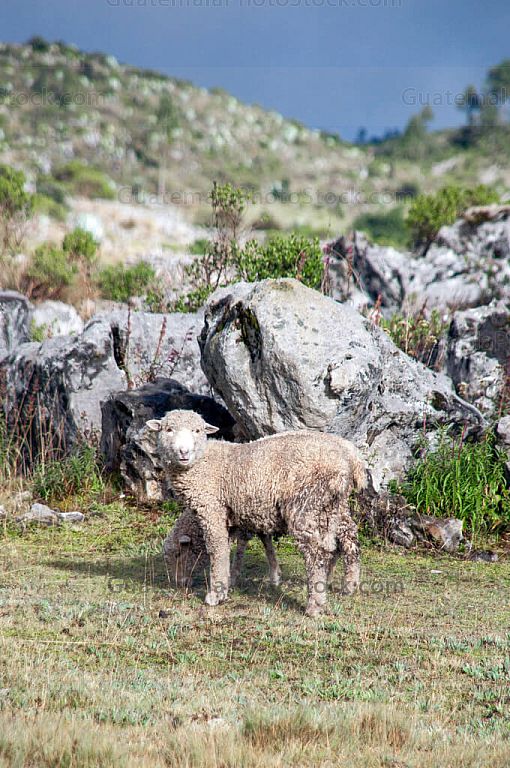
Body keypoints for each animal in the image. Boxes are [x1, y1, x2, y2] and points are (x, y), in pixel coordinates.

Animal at [147, 409, 366, 617]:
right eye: (168, 430)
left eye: (197, 430)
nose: (183, 452)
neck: (202, 464)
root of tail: (349, 459)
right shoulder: (237, 517)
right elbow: (239, 547)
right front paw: (231, 583)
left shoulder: (212, 510)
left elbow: (218, 550)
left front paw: (215, 594)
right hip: (332, 506)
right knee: (342, 541)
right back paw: (344, 584)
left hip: (305, 505)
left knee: (316, 552)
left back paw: (315, 603)